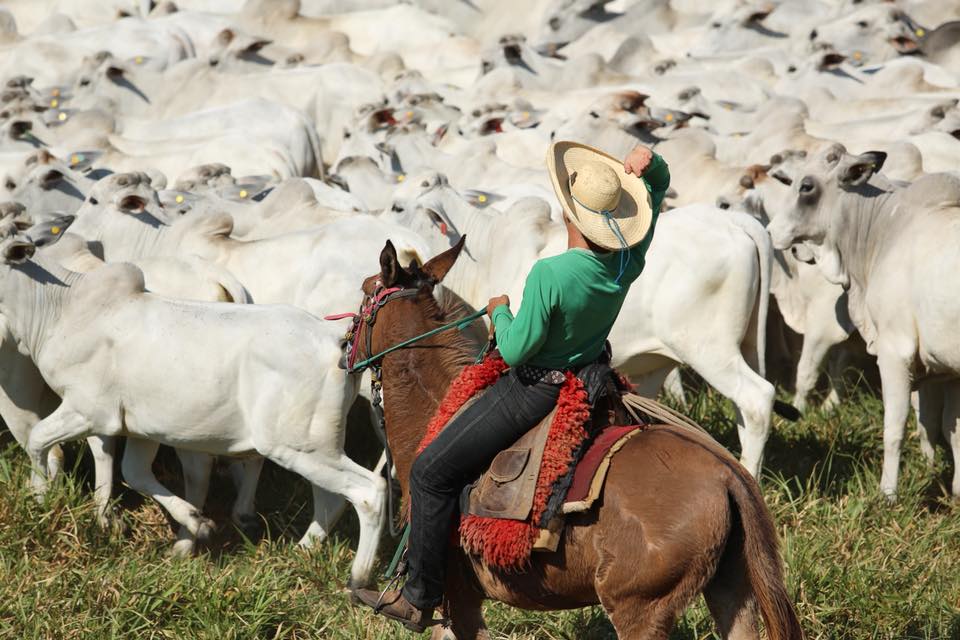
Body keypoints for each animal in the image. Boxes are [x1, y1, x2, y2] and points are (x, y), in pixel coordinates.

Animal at [362, 240, 804, 640]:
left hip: (639, 608)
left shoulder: (456, 598)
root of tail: (729, 476)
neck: (435, 404)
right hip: (732, 588)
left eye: (366, 292)